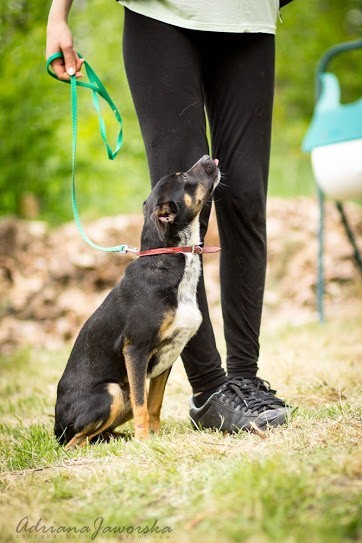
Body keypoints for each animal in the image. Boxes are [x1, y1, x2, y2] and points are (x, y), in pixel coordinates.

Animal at [54, 156, 221, 446]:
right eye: (184, 178)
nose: (207, 158)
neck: (169, 259)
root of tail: (56, 426)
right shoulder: (136, 350)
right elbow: (143, 404)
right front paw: (144, 442)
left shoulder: (169, 353)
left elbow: (154, 403)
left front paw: (154, 438)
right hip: (111, 392)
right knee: (75, 442)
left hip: (122, 396)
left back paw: (118, 437)